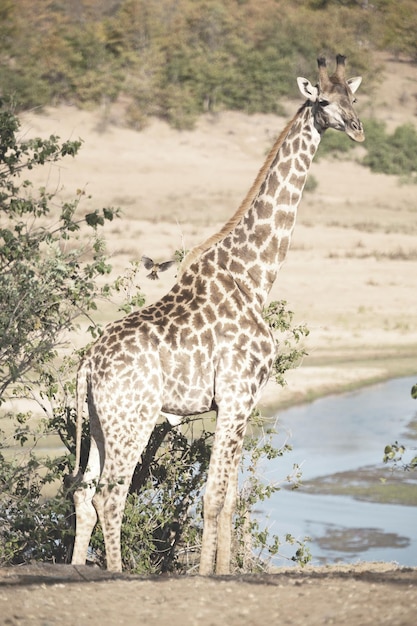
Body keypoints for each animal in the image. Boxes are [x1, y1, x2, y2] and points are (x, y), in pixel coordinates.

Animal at [71, 56, 364, 572]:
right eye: (325, 101)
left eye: (354, 97)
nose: (357, 129)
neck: (255, 277)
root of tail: (87, 363)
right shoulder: (235, 394)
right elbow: (212, 497)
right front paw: (209, 575)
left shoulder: (246, 401)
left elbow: (227, 498)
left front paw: (224, 571)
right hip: (133, 417)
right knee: (111, 495)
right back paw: (115, 574)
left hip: (102, 421)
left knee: (84, 495)